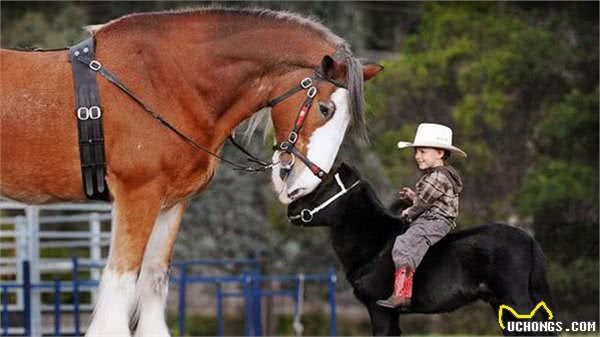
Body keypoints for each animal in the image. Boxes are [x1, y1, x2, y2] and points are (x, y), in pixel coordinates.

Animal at [0, 8, 382, 336]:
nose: (302, 185)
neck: (165, 81)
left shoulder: (170, 204)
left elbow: (154, 280)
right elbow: (121, 285)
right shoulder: (137, 194)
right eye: (325, 108)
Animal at [288, 162, 556, 334]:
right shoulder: (391, 314)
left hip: (515, 300)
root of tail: (529, 239)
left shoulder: (378, 308)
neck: (377, 242)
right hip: (501, 303)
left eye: (325, 187)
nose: (291, 209)